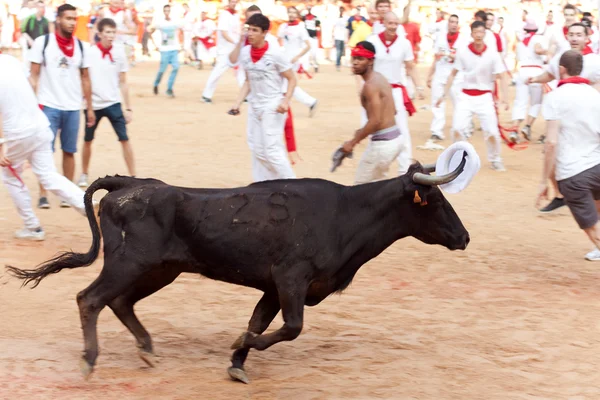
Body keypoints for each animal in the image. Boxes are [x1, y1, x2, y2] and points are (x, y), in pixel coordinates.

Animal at [7, 154, 472, 384]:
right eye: (437, 201)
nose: (465, 237)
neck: (345, 214)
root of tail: (129, 185)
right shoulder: (291, 280)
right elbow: (290, 328)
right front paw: (238, 346)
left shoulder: (273, 288)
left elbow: (262, 322)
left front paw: (237, 361)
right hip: (130, 263)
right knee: (91, 299)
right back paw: (90, 360)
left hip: (160, 270)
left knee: (120, 303)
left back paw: (148, 352)